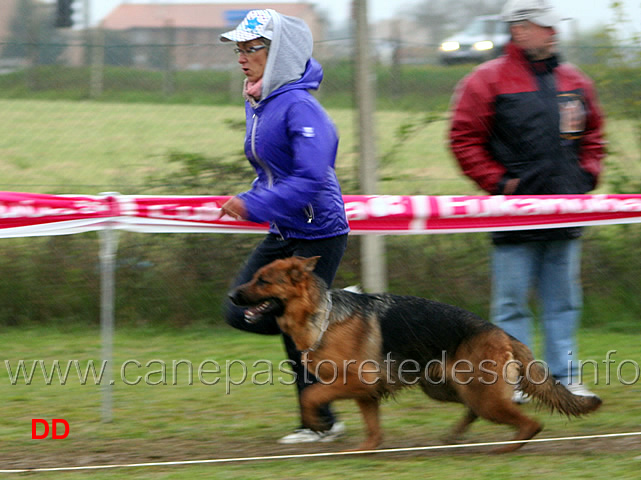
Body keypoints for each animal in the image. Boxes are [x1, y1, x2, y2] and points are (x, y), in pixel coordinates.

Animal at [229, 256, 600, 452]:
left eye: (263, 281)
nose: (232, 296)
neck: (321, 315)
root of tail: (501, 332)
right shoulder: (367, 395)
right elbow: (373, 430)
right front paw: (364, 450)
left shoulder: (357, 384)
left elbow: (311, 395)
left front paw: (317, 423)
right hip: (448, 389)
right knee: (475, 412)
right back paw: (454, 436)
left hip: (481, 396)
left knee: (530, 422)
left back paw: (507, 448)